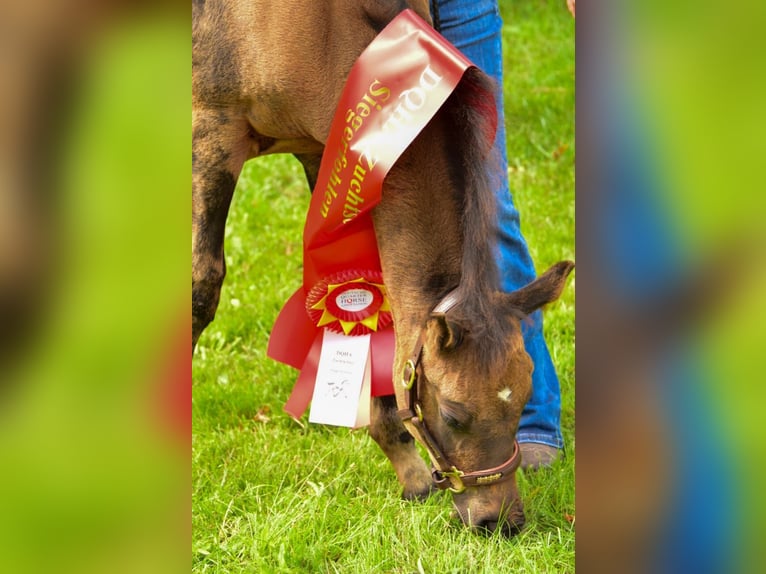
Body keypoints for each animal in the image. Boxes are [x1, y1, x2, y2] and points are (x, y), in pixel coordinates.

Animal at [192, 0, 573, 536]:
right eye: (453, 415)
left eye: (522, 401)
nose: (499, 521)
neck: (321, 28)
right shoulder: (213, 126)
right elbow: (200, 285)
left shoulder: (331, 152)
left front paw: (409, 474)